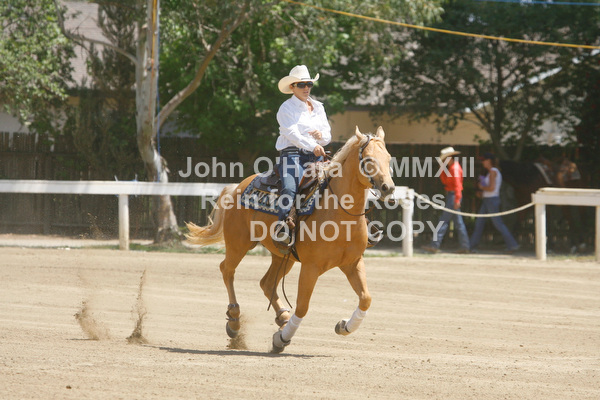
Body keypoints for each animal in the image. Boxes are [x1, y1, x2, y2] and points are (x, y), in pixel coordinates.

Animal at [185, 126, 395, 353]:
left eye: (388, 158)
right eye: (368, 159)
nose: (388, 188)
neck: (338, 212)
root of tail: (237, 187)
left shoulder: (353, 262)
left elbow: (366, 298)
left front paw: (344, 326)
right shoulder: (311, 267)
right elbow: (302, 307)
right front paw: (281, 339)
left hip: (282, 256)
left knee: (267, 283)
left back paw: (283, 317)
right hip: (238, 243)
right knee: (227, 270)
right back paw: (234, 320)